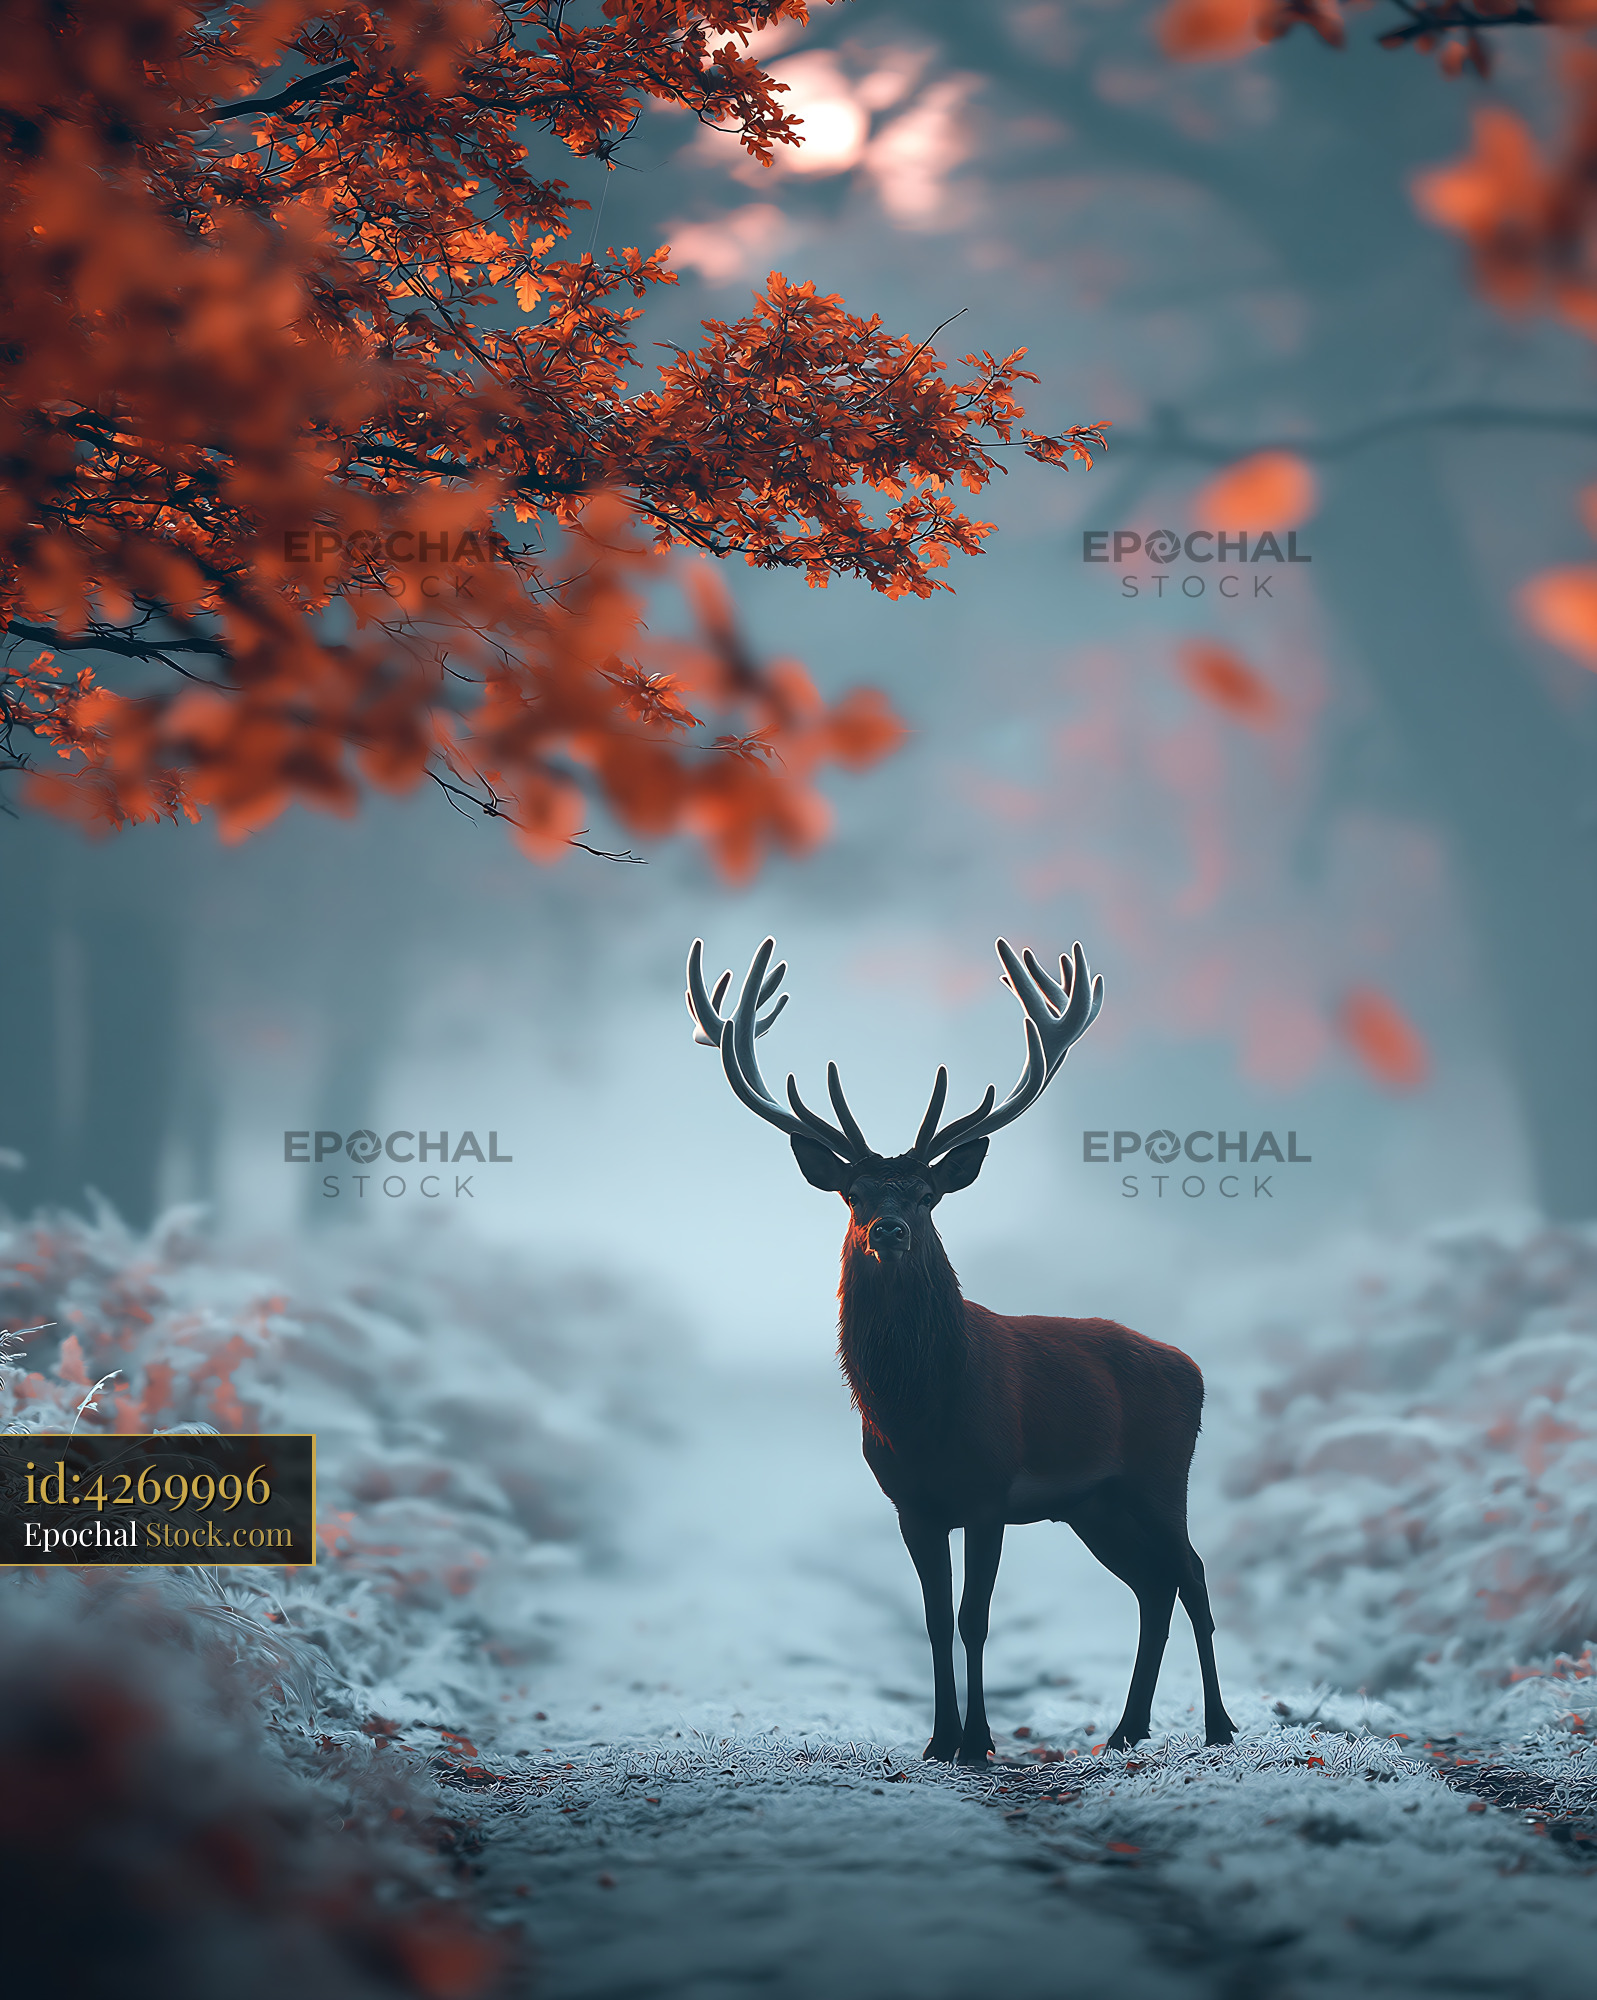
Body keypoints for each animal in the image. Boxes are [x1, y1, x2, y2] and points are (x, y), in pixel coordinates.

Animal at [685, 934, 1236, 1767]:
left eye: (925, 1195)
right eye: (854, 1193)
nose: (888, 1229)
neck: (919, 1409)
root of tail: (1192, 1368)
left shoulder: (988, 1489)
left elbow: (975, 1618)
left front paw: (976, 1741)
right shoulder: (911, 1503)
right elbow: (934, 1619)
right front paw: (939, 1739)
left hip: (1159, 1472)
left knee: (1193, 1575)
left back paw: (1217, 1727)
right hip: (1094, 1503)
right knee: (1151, 1587)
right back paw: (1125, 1730)